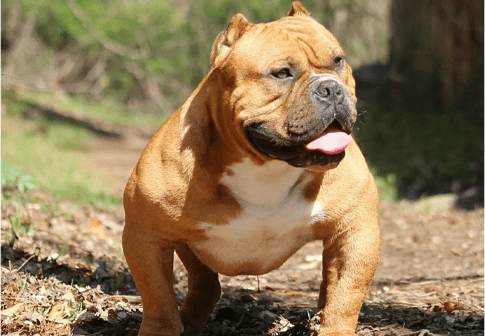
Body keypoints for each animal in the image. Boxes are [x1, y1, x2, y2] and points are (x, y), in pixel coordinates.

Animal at [123, 1, 380, 334]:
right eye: (281, 73)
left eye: (338, 62)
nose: (331, 88)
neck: (266, 167)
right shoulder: (146, 235)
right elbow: (158, 297)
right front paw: (162, 328)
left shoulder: (355, 231)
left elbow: (345, 295)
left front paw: (333, 326)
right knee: (204, 285)